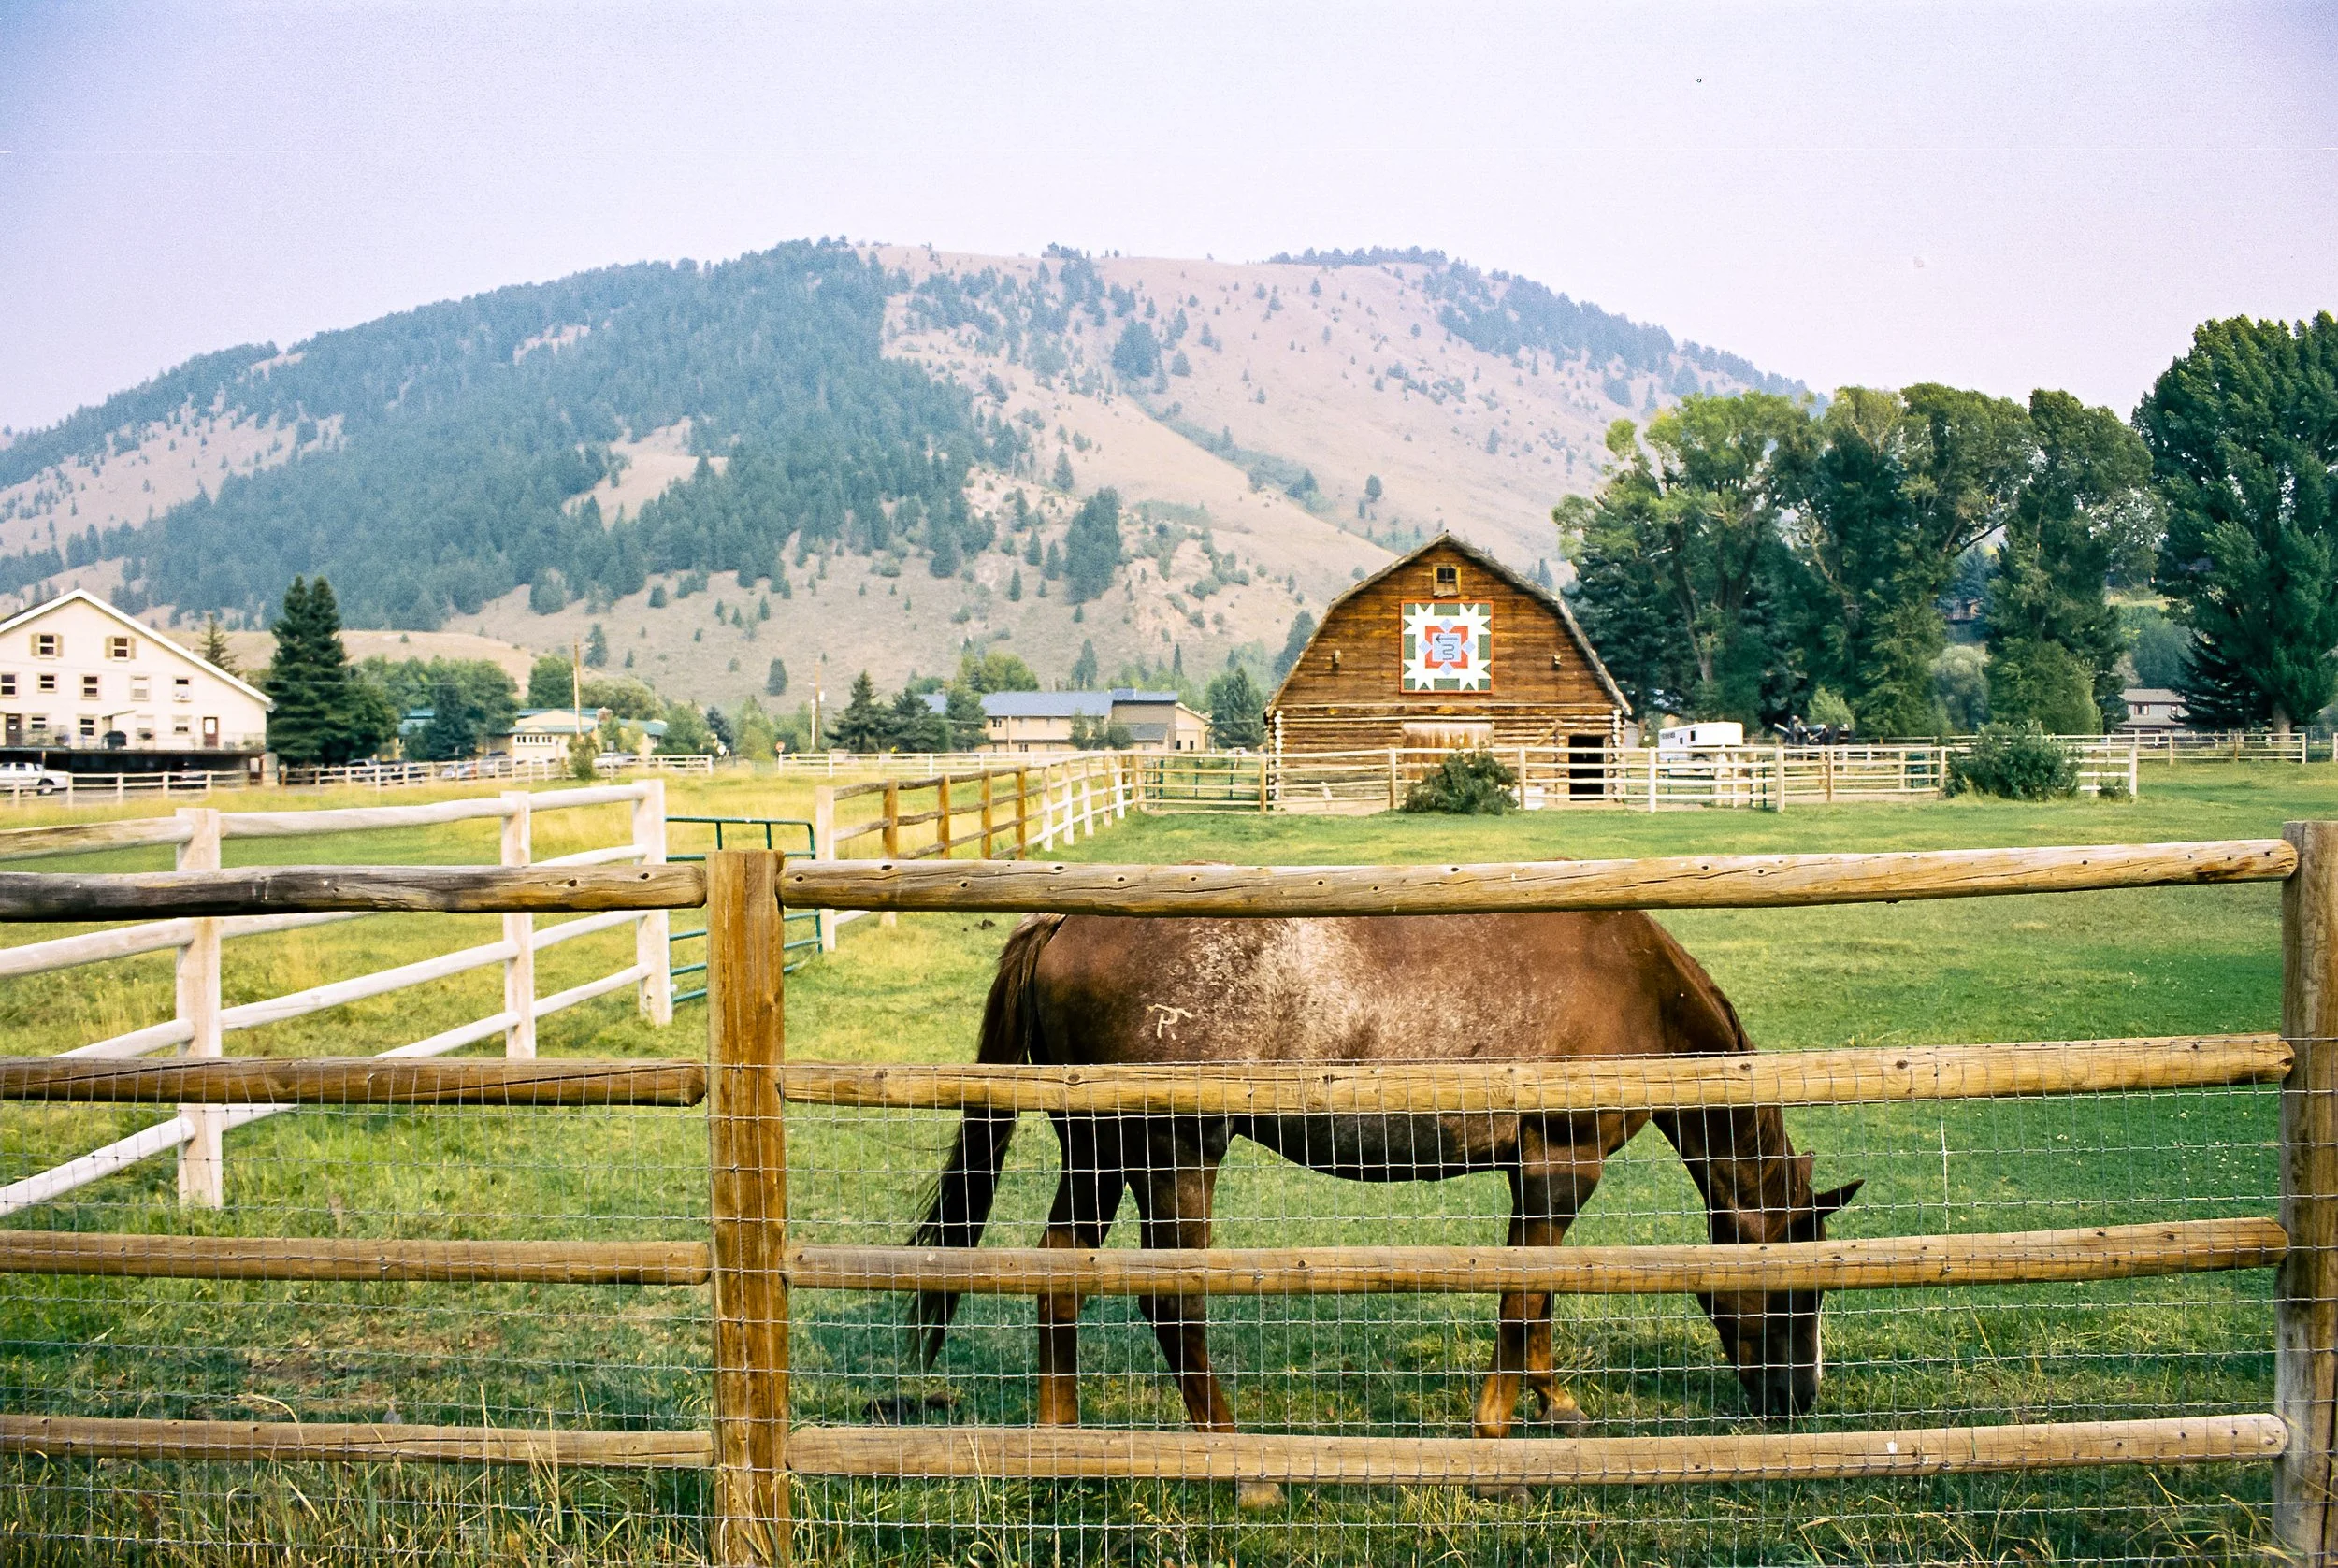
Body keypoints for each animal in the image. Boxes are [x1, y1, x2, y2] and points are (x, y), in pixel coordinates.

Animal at [907, 909, 1860, 1503]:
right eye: (1800, 1288)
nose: (1799, 1398)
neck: (1634, 985)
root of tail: (1066, 924)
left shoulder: (1540, 1175)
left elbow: (1541, 1292)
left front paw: (1554, 1402)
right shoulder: (1560, 1165)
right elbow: (1521, 1295)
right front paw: (1496, 1442)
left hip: (1101, 1153)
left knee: (1057, 1269)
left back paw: (1060, 1456)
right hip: (1174, 1154)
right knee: (1170, 1301)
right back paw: (1243, 1465)